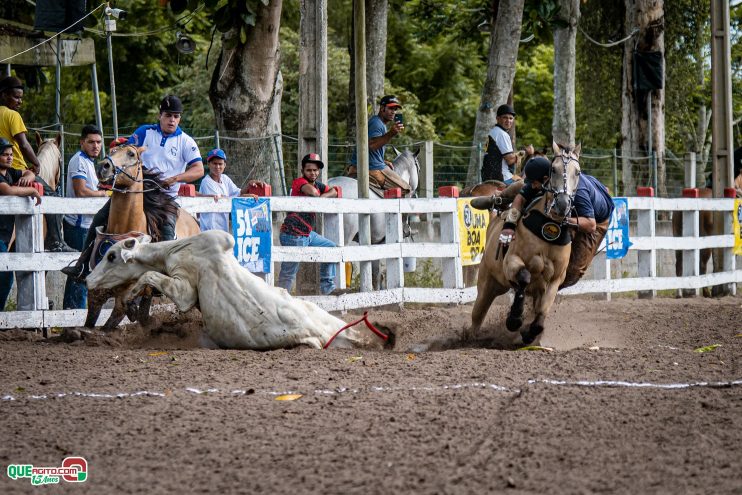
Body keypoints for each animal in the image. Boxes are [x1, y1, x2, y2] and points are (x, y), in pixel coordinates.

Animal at [85, 143, 201, 330]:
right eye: (111, 151)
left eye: (131, 154)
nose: (103, 166)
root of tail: (193, 220)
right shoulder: (95, 293)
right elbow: (90, 323)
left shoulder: (126, 294)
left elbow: (114, 318)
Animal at [85, 231, 390, 350]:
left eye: (111, 256)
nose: (87, 279)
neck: (172, 250)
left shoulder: (184, 289)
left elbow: (149, 276)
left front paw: (131, 297)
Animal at [468, 141, 584, 346]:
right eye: (553, 169)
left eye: (577, 172)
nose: (562, 204)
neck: (549, 229)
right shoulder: (511, 262)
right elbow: (523, 276)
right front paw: (514, 319)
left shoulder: (555, 280)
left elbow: (542, 311)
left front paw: (530, 332)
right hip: (487, 284)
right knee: (477, 316)